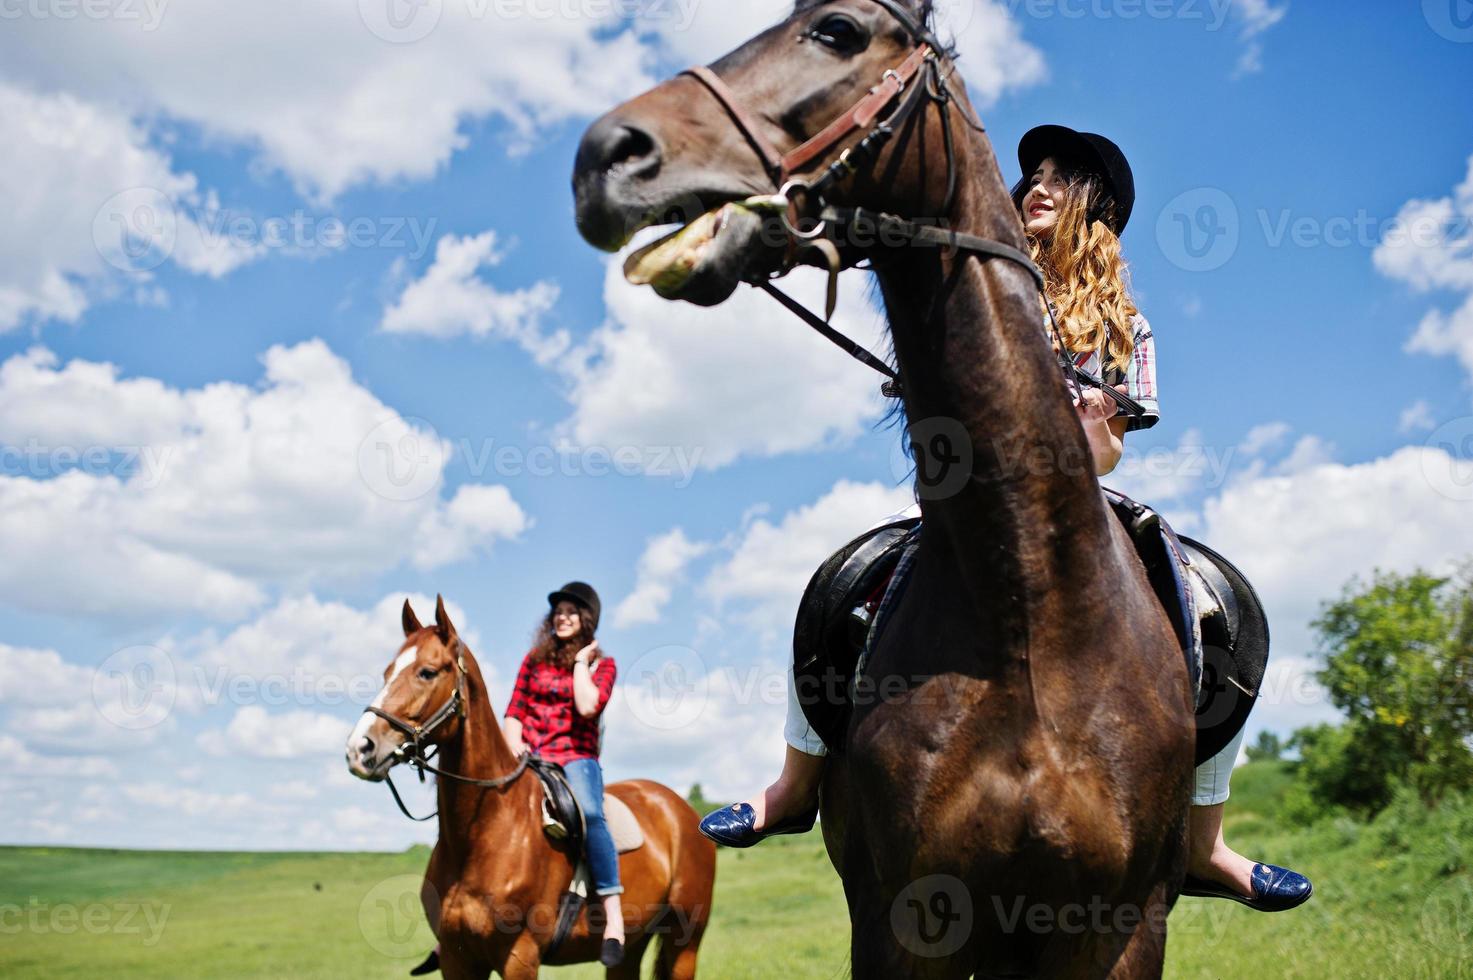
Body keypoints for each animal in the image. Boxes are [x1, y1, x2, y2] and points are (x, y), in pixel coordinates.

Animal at [344, 595, 712, 978]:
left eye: (427, 672)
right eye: (387, 673)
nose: (360, 748)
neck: (484, 833)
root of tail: (679, 808)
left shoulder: (519, 956)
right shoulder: (457, 958)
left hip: (684, 941)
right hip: (632, 947)